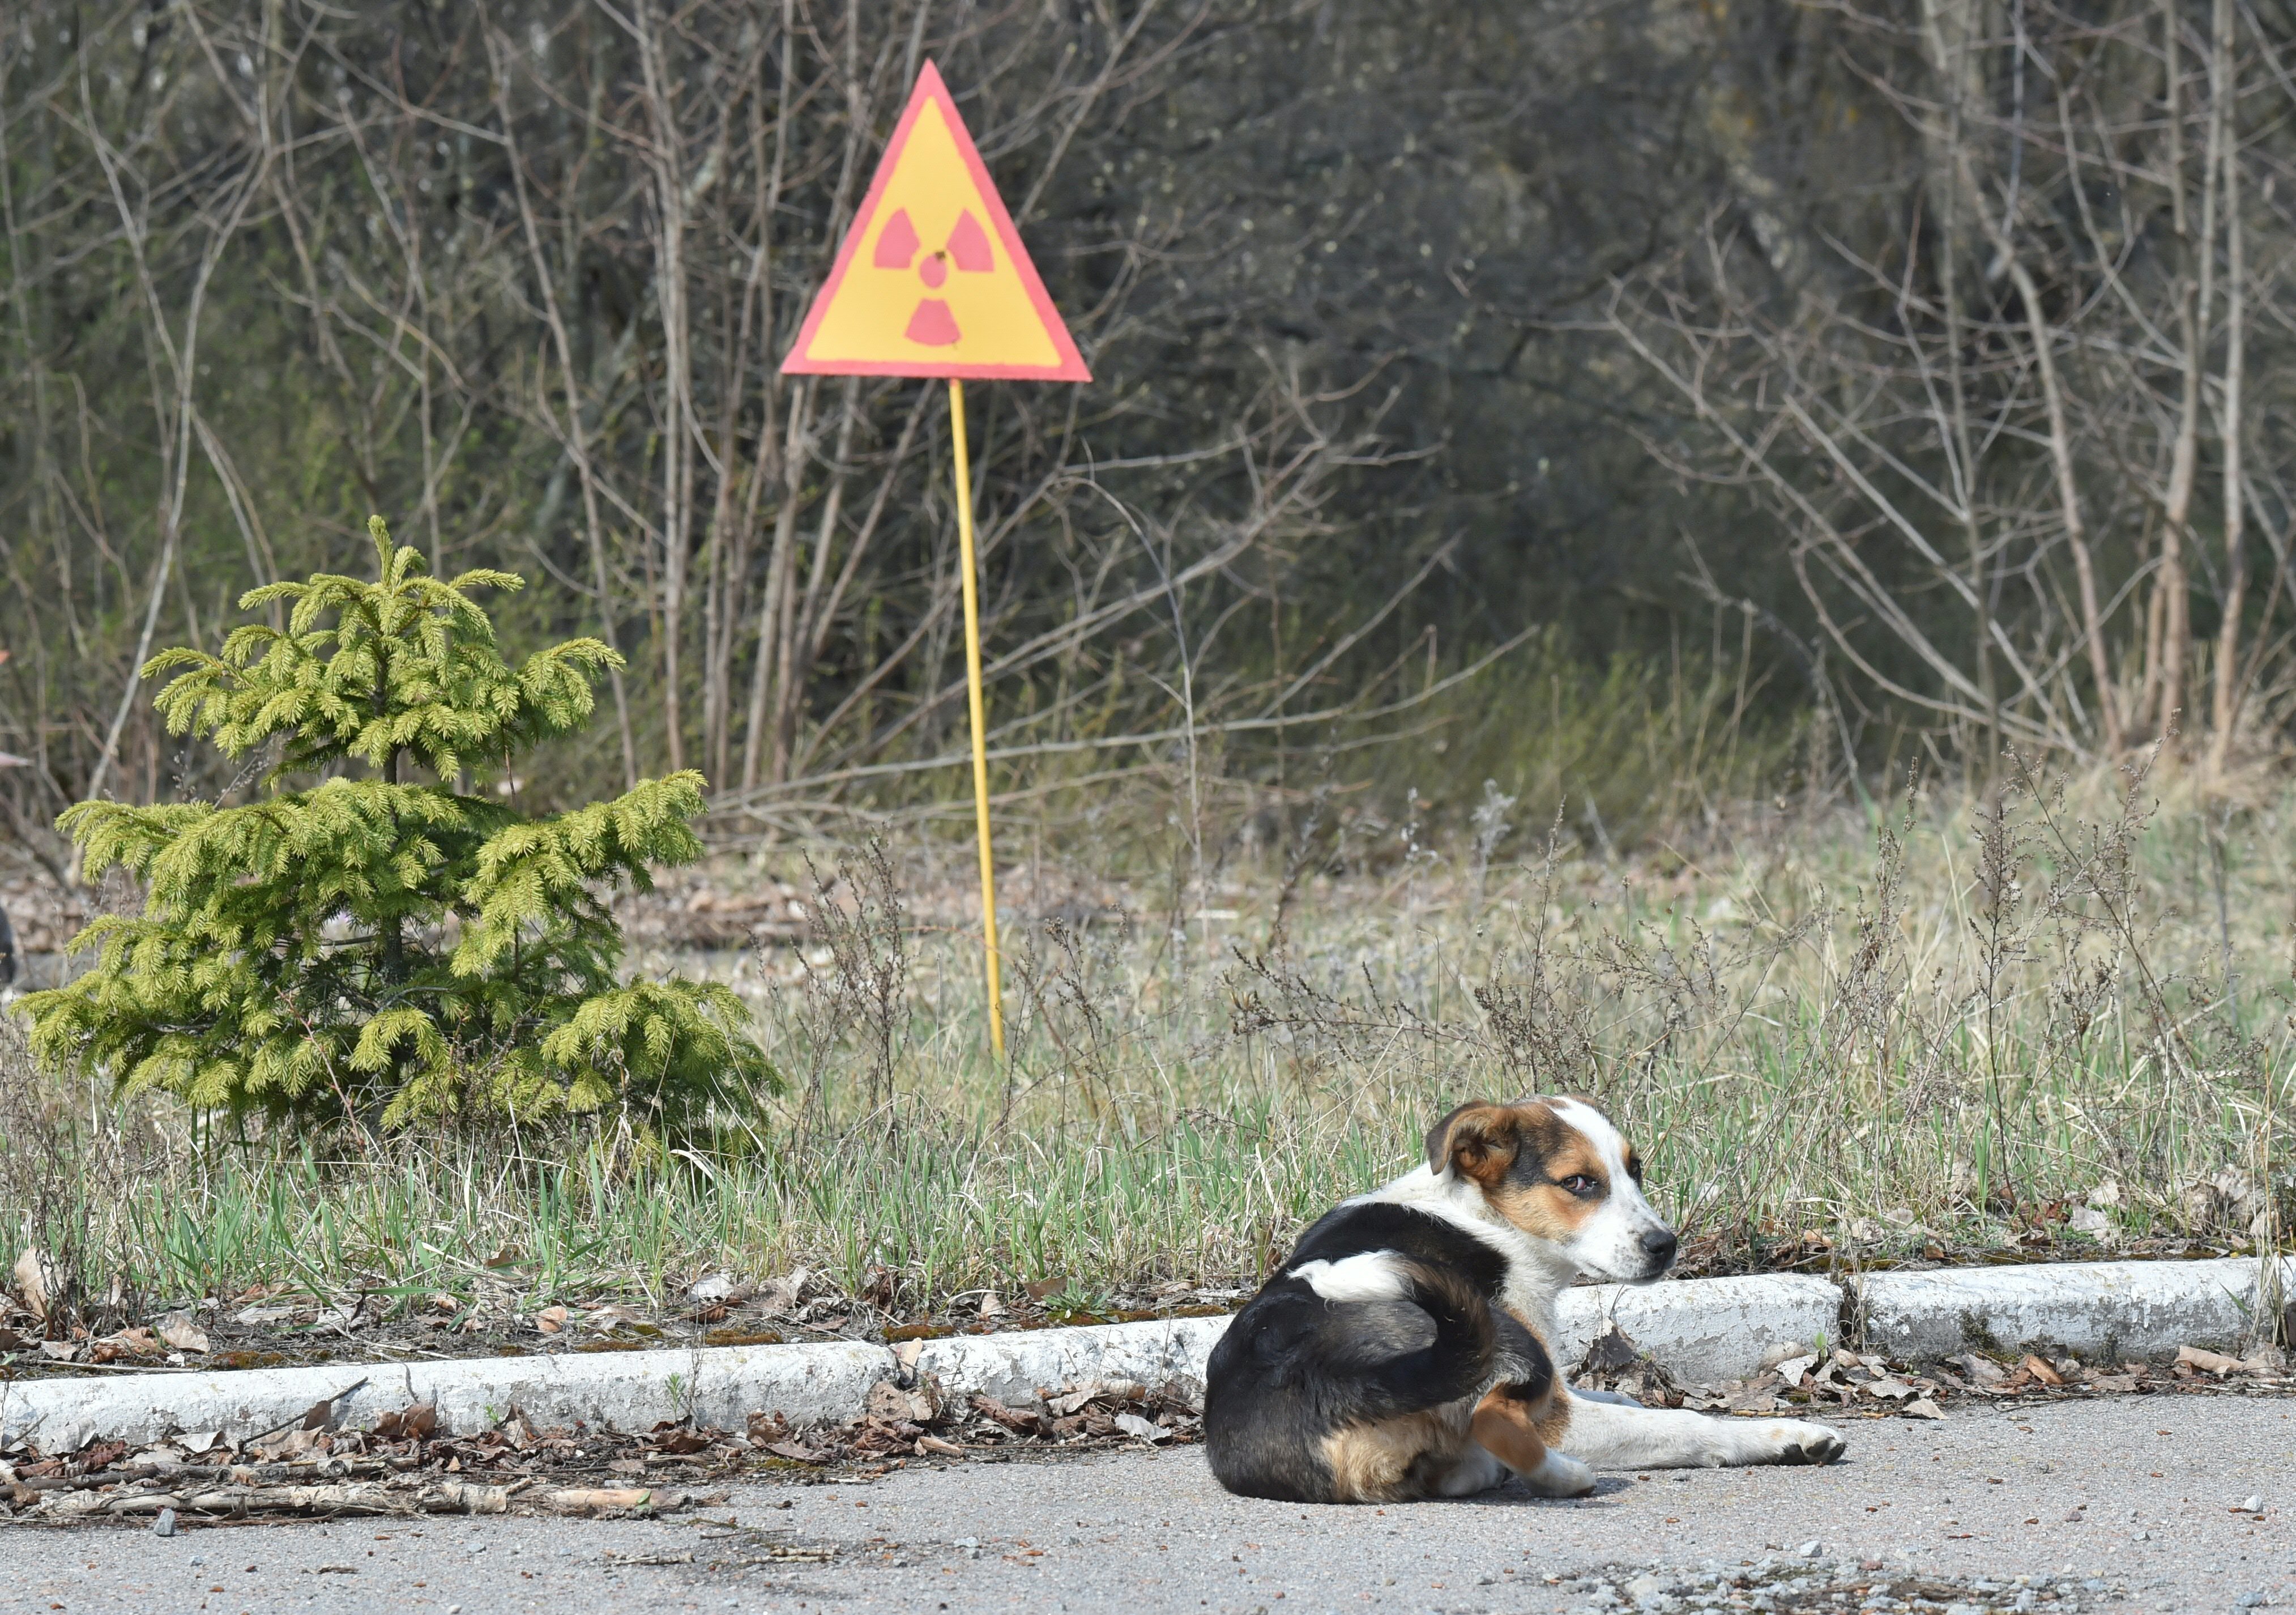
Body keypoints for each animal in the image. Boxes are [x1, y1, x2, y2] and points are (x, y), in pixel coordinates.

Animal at [1203, 1093, 1846, 1507]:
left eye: (1635, 1170)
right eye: (1579, 1182)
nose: (1666, 1246)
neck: (1483, 1214)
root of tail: (1330, 1382)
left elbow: (1624, 1398)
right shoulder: (1557, 1405)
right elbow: (1684, 1422)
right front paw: (1784, 1437)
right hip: (1493, 1340)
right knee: (1498, 1422)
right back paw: (1564, 1476)